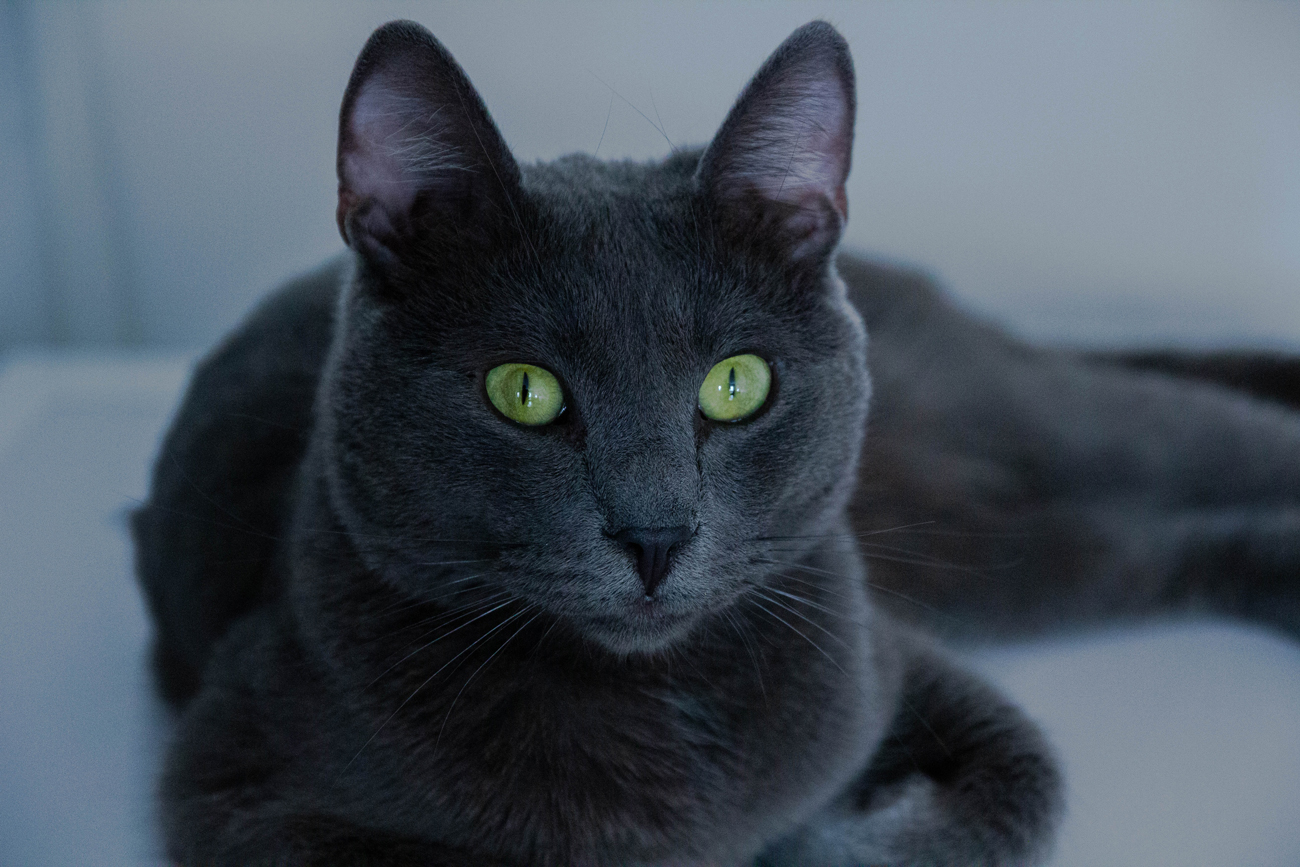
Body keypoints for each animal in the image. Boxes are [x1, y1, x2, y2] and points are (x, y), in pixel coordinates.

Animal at [131, 15, 1300, 867]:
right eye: (523, 392)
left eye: (736, 385)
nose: (656, 533)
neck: (658, 700)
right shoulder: (236, 782)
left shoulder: (875, 653)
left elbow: (1017, 786)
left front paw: (829, 840)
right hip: (998, 552)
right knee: (1145, 549)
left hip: (1030, 440)